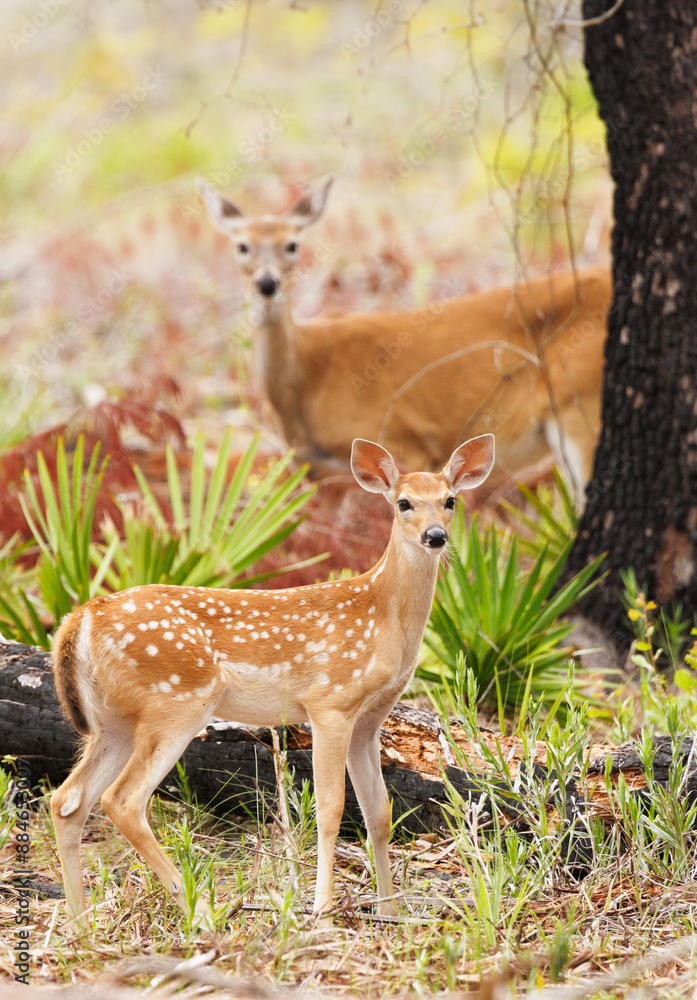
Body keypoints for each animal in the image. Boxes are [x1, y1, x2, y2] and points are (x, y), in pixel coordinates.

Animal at [50, 432, 495, 929]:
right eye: (404, 502)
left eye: (450, 500)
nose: (435, 536)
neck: (384, 616)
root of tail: (82, 617)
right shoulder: (330, 701)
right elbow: (330, 809)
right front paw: (322, 912)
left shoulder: (370, 719)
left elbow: (379, 813)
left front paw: (390, 912)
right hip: (176, 700)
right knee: (121, 801)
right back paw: (202, 913)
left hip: (113, 721)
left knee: (67, 800)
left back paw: (80, 925)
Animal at [196, 176, 610, 502]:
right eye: (241, 246)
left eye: (292, 245)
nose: (267, 284)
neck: (304, 383)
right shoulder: (312, 469)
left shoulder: (406, 438)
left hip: (582, 405)